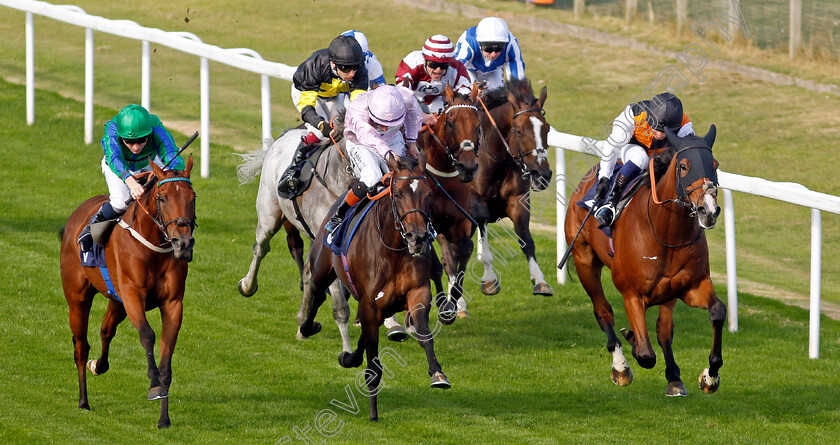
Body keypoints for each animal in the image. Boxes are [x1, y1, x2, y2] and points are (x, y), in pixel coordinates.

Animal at [59, 155, 197, 426]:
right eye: (162, 197)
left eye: (192, 197)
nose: (183, 243)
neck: (154, 245)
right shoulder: (133, 296)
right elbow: (147, 335)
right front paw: (154, 386)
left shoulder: (173, 304)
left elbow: (166, 359)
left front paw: (164, 419)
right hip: (78, 299)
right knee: (81, 346)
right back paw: (83, 401)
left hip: (117, 301)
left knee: (106, 331)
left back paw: (98, 365)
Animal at [298, 153, 450, 420]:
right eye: (397, 193)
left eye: (429, 193)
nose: (418, 238)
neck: (393, 249)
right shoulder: (370, 303)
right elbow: (373, 364)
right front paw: (373, 413)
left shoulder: (417, 292)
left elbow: (424, 334)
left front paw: (438, 374)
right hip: (322, 267)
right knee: (316, 292)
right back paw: (308, 327)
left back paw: (349, 356)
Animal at [470, 77, 556, 306]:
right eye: (518, 130)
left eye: (547, 129)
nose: (542, 174)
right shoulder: (477, 204)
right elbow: (483, 252)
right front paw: (489, 280)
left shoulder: (518, 201)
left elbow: (527, 241)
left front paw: (540, 281)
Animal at [568, 125, 724, 396]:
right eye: (683, 166)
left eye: (714, 165)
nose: (709, 211)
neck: (666, 231)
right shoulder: (632, 294)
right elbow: (645, 355)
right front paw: (630, 345)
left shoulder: (691, 286)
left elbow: (717, 312)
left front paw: (709, 376)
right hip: (584, 261)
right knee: (603, 311)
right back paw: (620, 367)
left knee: (663, 330)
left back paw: (673, 376)